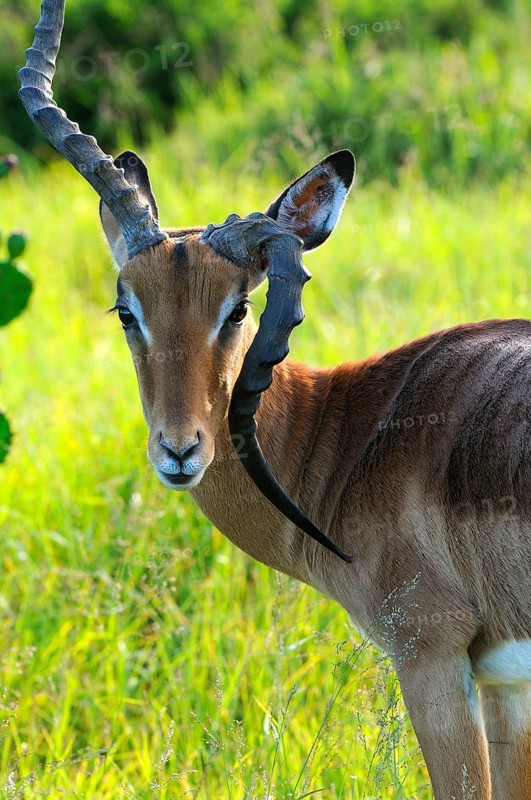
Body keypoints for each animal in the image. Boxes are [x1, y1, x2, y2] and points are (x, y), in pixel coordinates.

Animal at [19, 1, 531, 797]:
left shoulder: (432, 658)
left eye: (237, 308)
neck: (352, 435)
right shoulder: (507, 685)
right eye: (126, 310)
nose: (179, 451)